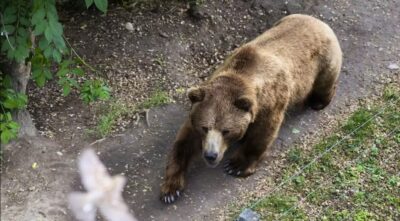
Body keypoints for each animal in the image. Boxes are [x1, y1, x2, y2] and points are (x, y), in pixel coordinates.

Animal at [159, 14, 340, 204]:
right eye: (205, 127)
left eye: (226, 130)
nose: (211, 155)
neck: (243, 77)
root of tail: (318, 21)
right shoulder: (201, 107)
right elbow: (184, 141)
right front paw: (171, 189)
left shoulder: (271, 101)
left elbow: (263, 132)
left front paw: (236, 165)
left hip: (324, 61)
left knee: (325, 82)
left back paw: (318, 102)